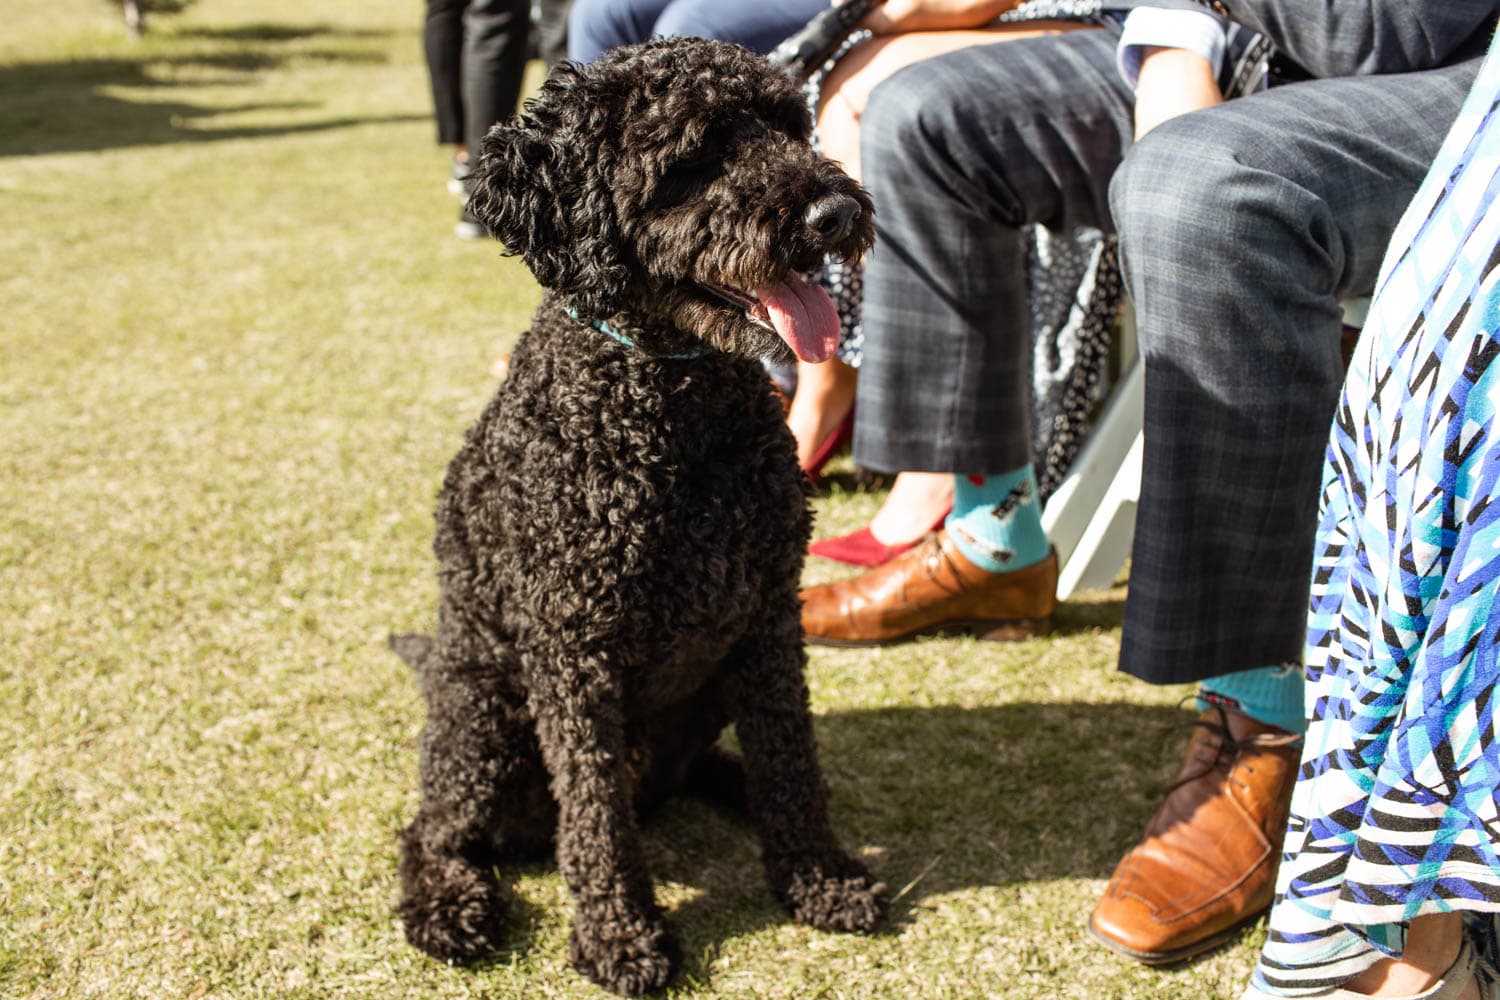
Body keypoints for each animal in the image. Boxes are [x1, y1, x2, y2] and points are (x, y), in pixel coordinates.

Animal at [393, 37, 888, 995]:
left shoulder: (769, 620)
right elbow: (595, 816)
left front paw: (817, 876)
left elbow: (790, 761)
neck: (671, 400)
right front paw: (619, 937)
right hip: (482, 712)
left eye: (790, 124)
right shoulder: (574, 655)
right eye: (695, 154)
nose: (836, 211)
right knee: (435, 829)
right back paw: (448, 906)